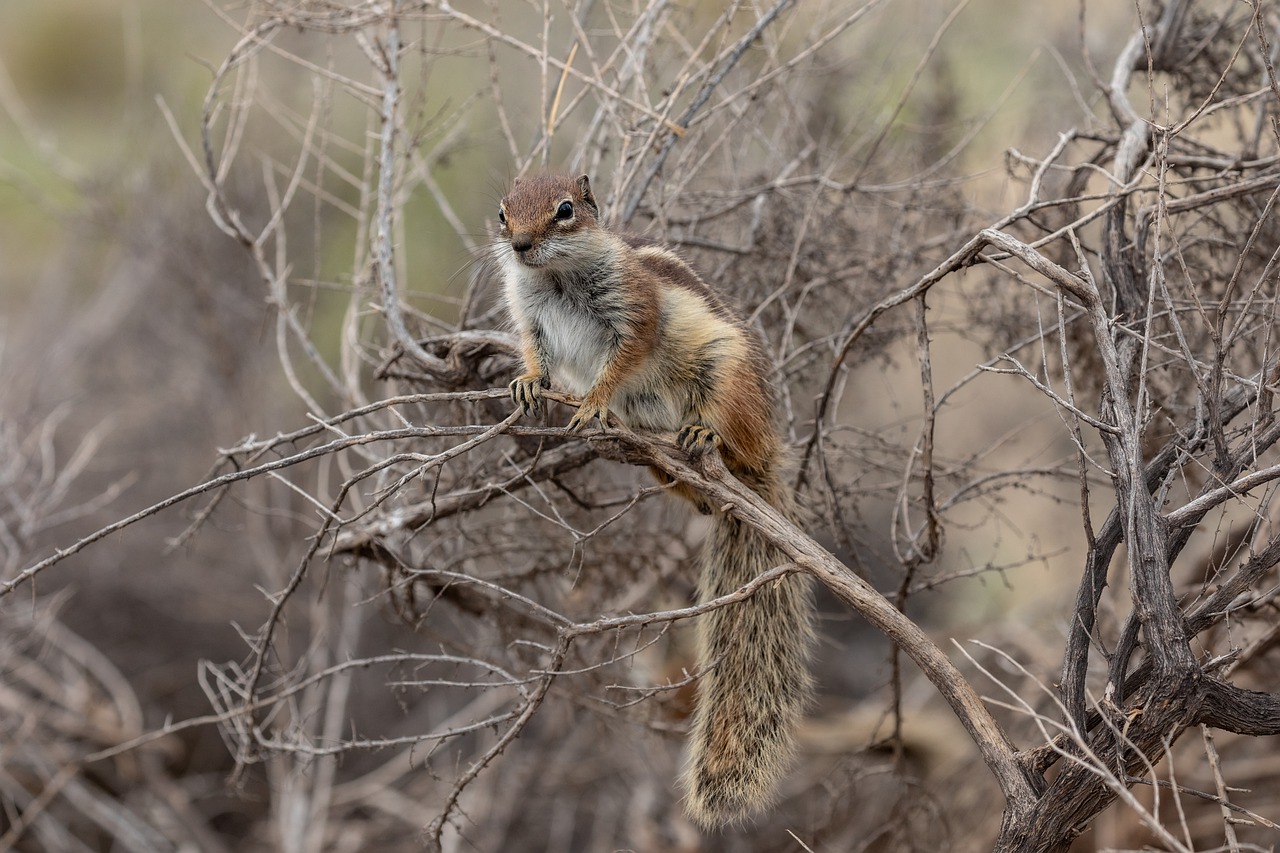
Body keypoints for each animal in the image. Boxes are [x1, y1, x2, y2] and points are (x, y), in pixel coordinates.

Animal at [494, 171, 814, 824]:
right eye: (502, 212)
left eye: (565, 210)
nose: (519, 246)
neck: (555, 276)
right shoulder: (530, 315)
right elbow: (536, 351)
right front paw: (529, 382)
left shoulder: (635, 310)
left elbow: (625, 357)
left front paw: (593, 401)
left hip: (724, 374)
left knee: (729, 433)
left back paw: (703, 437)